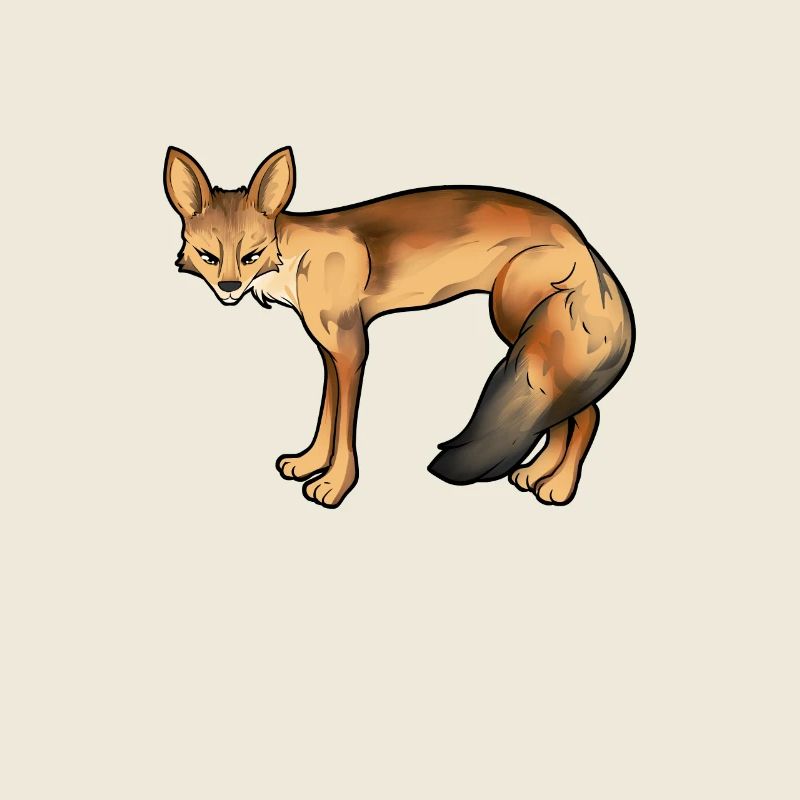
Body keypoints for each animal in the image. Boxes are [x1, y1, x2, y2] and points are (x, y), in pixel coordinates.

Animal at [164, 146, 635, 509]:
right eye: (209, 257)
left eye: (251, 255)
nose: (229, 288)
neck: (297, 259)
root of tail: (581, 237)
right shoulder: (330, 350)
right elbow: (327, 414)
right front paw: (309, 463)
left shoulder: (353, 349)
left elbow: (344, 425)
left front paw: (335, 486)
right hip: (533, 336)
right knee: (562, 409)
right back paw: (537, 474)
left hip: (514, 320)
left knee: (586, 412)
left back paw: (559, 486)